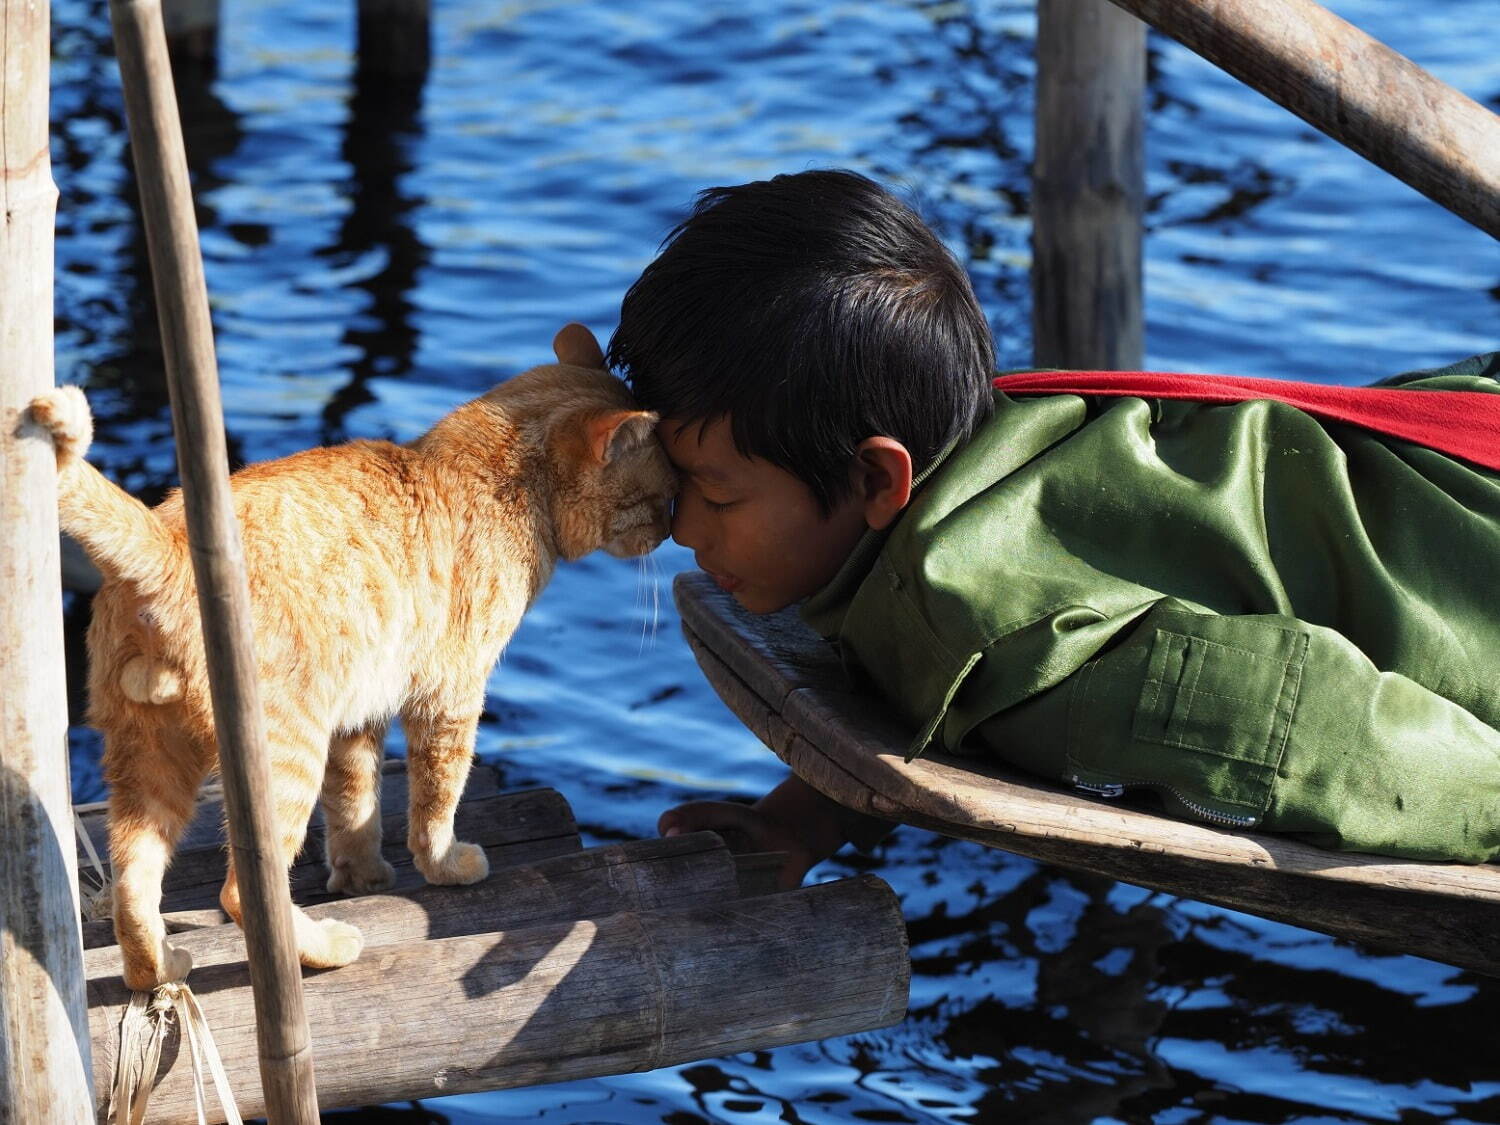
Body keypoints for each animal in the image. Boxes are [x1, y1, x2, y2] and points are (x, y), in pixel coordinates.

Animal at [27, 321, 675, 990]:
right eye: (664, 495)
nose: (670, 528)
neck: (495, 475)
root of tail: (172, 549)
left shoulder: (361, 713)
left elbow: (355, 803)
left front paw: (362, 878)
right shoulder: (451, 698)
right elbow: (435, 799)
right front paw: (445, 865)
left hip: (149, 759)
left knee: (131, 888)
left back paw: (159, 969)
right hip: (282, 756)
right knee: (238, 894)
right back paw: (326, 947)